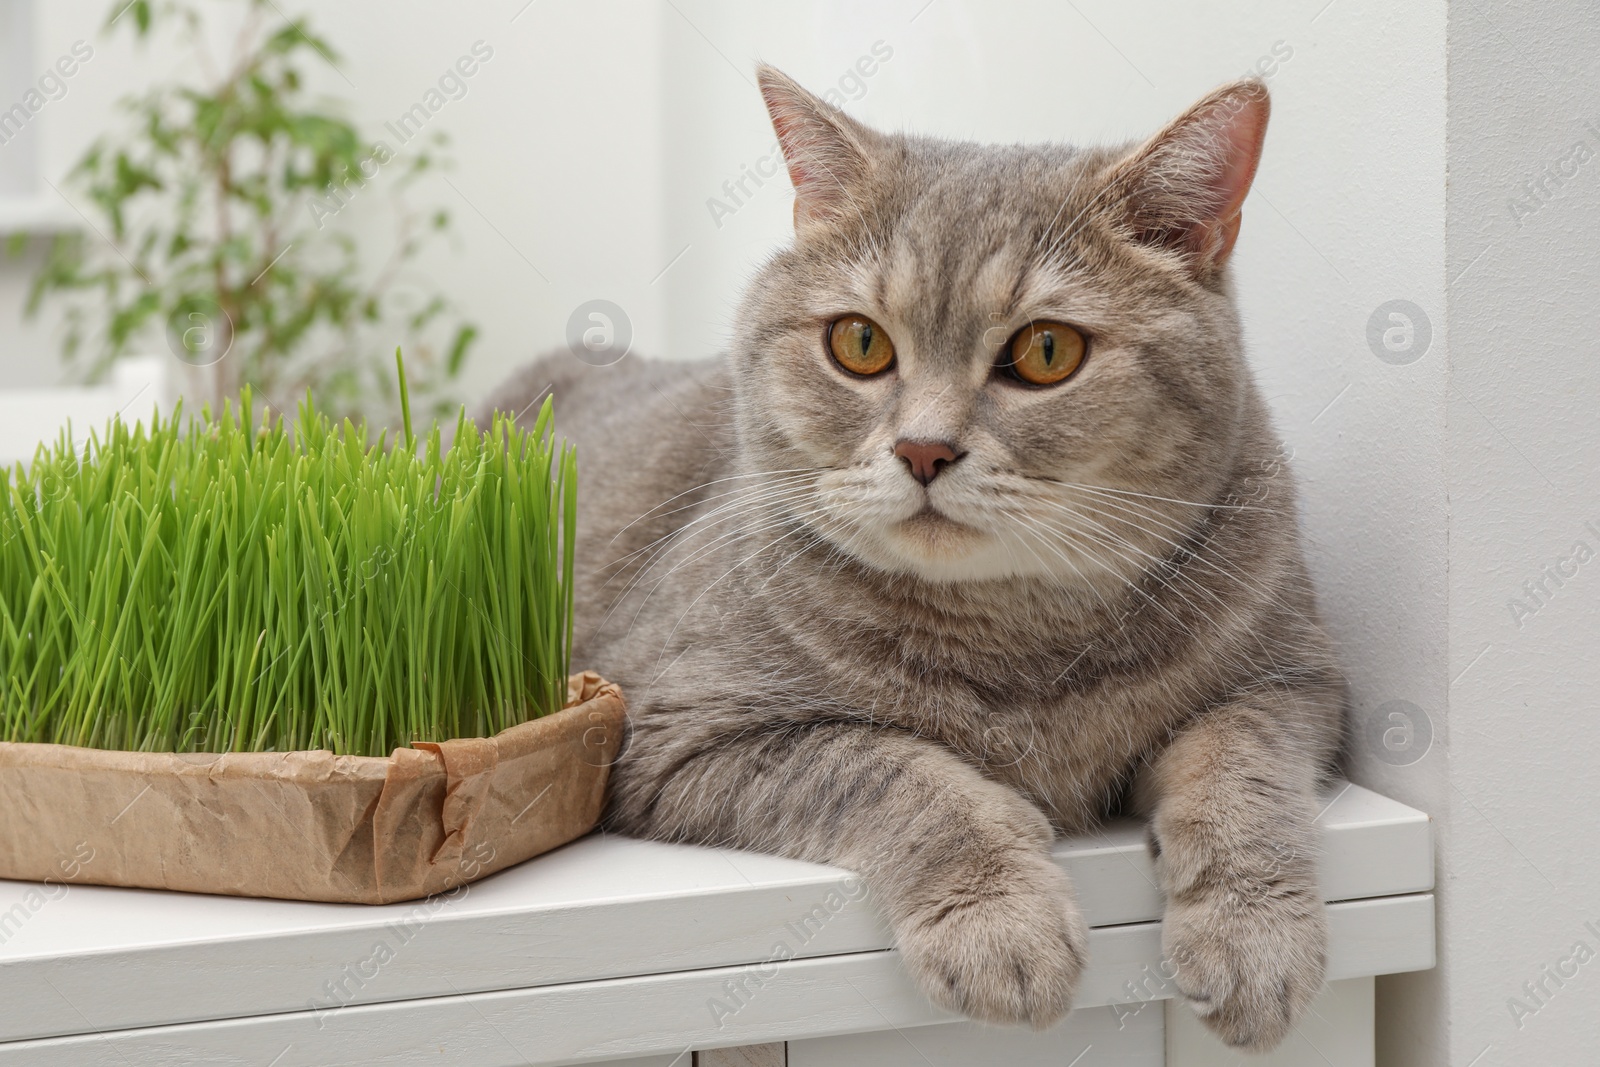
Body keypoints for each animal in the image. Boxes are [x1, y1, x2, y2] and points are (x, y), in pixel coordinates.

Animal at [483, 68, 1337, 1062]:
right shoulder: (675, 727)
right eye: (860, 343)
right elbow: (894, 769)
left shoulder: (1294, 678)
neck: (1018, 638)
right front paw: (999, 923)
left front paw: (1255, 936)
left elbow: (1243, 775)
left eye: (1047, 351)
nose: (924, 449)